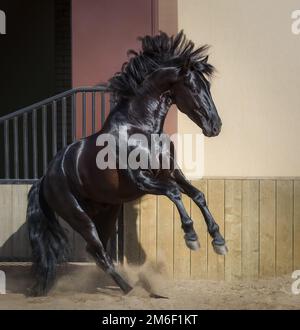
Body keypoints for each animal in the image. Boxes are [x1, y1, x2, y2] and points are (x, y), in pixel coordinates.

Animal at [26, 31, 227, 296]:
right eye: (193, 88)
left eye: (208, 87)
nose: (215, 126)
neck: (141, 128)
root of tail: (45, 178)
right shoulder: (142, 180)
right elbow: (175, 193)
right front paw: (191, 237)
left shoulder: (170, 172)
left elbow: (197, 195)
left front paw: (218, 241)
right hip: (79, 217)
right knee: (99, 252)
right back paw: (130, 289)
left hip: (107, 211)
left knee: (96, 251)